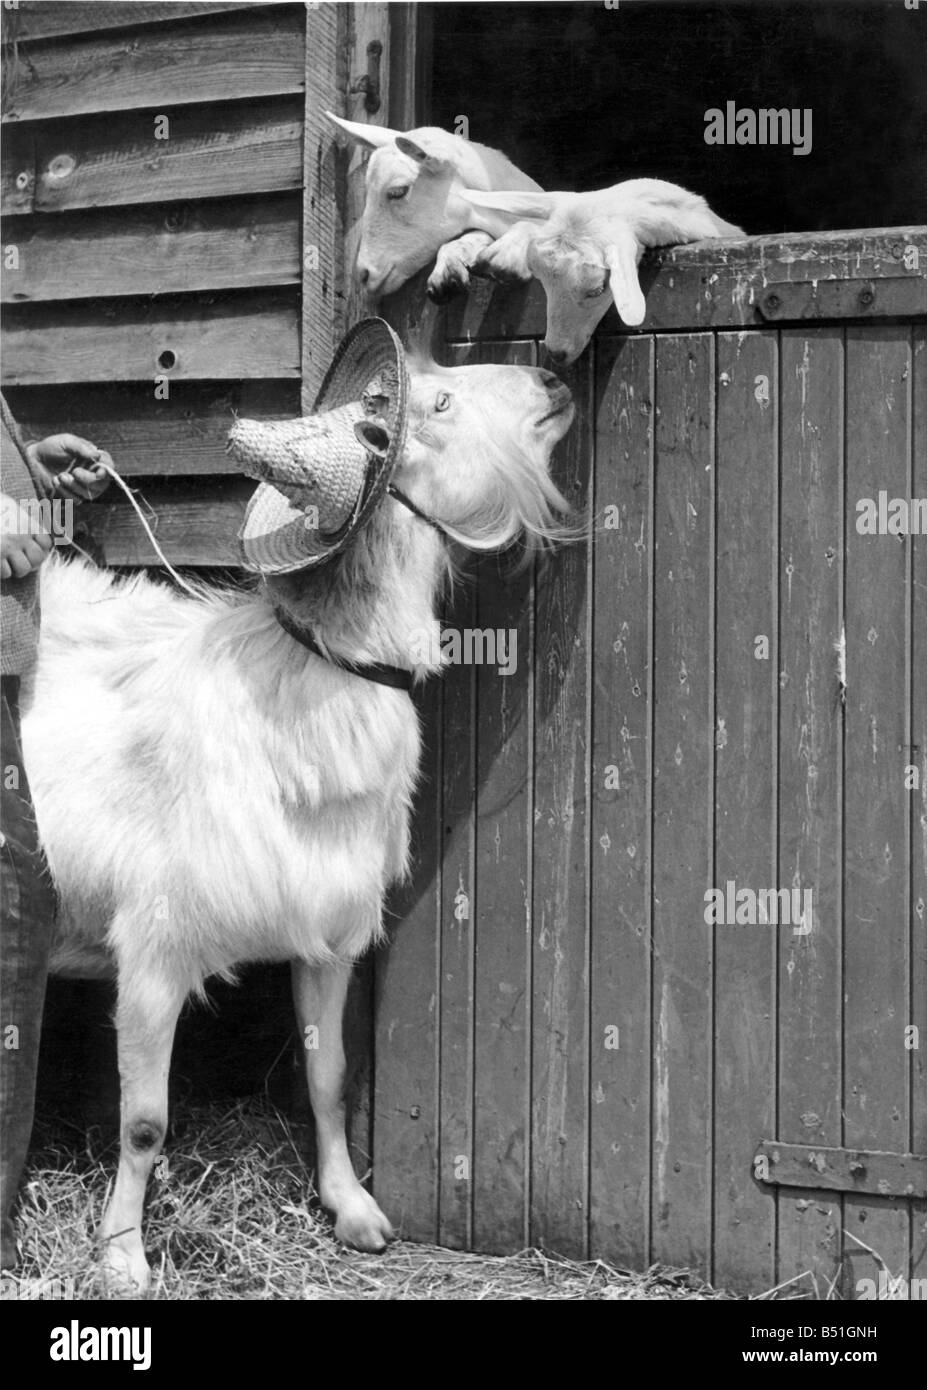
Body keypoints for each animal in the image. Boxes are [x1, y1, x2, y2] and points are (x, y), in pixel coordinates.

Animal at [21, 355, 572, 1289]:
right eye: (439, 401)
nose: (552, 381)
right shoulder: (154, 945)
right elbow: (144, 1121)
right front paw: (123, 1255)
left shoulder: (328, 929)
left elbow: (328, 1075)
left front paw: (351, 1208)